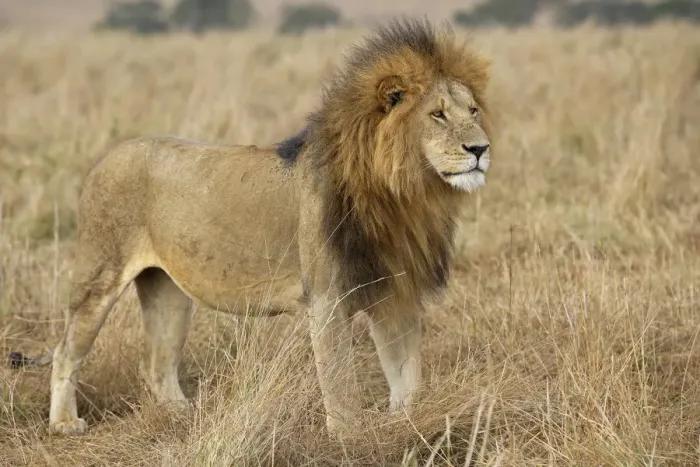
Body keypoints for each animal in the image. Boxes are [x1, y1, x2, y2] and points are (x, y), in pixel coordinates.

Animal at [43, 18, 493, 437]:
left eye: (472, 112)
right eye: (437, 114)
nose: (481, 148)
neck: (404, 194)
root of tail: (106, 157)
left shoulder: (394, 293)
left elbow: (407, 377)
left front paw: (408, 425)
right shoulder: (326, 298)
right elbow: (339, 382)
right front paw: (347, 438)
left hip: (168, 290)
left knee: (156, 362)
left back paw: (182, 415)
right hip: (99, 277)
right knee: (66, 351)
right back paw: (65, 422)